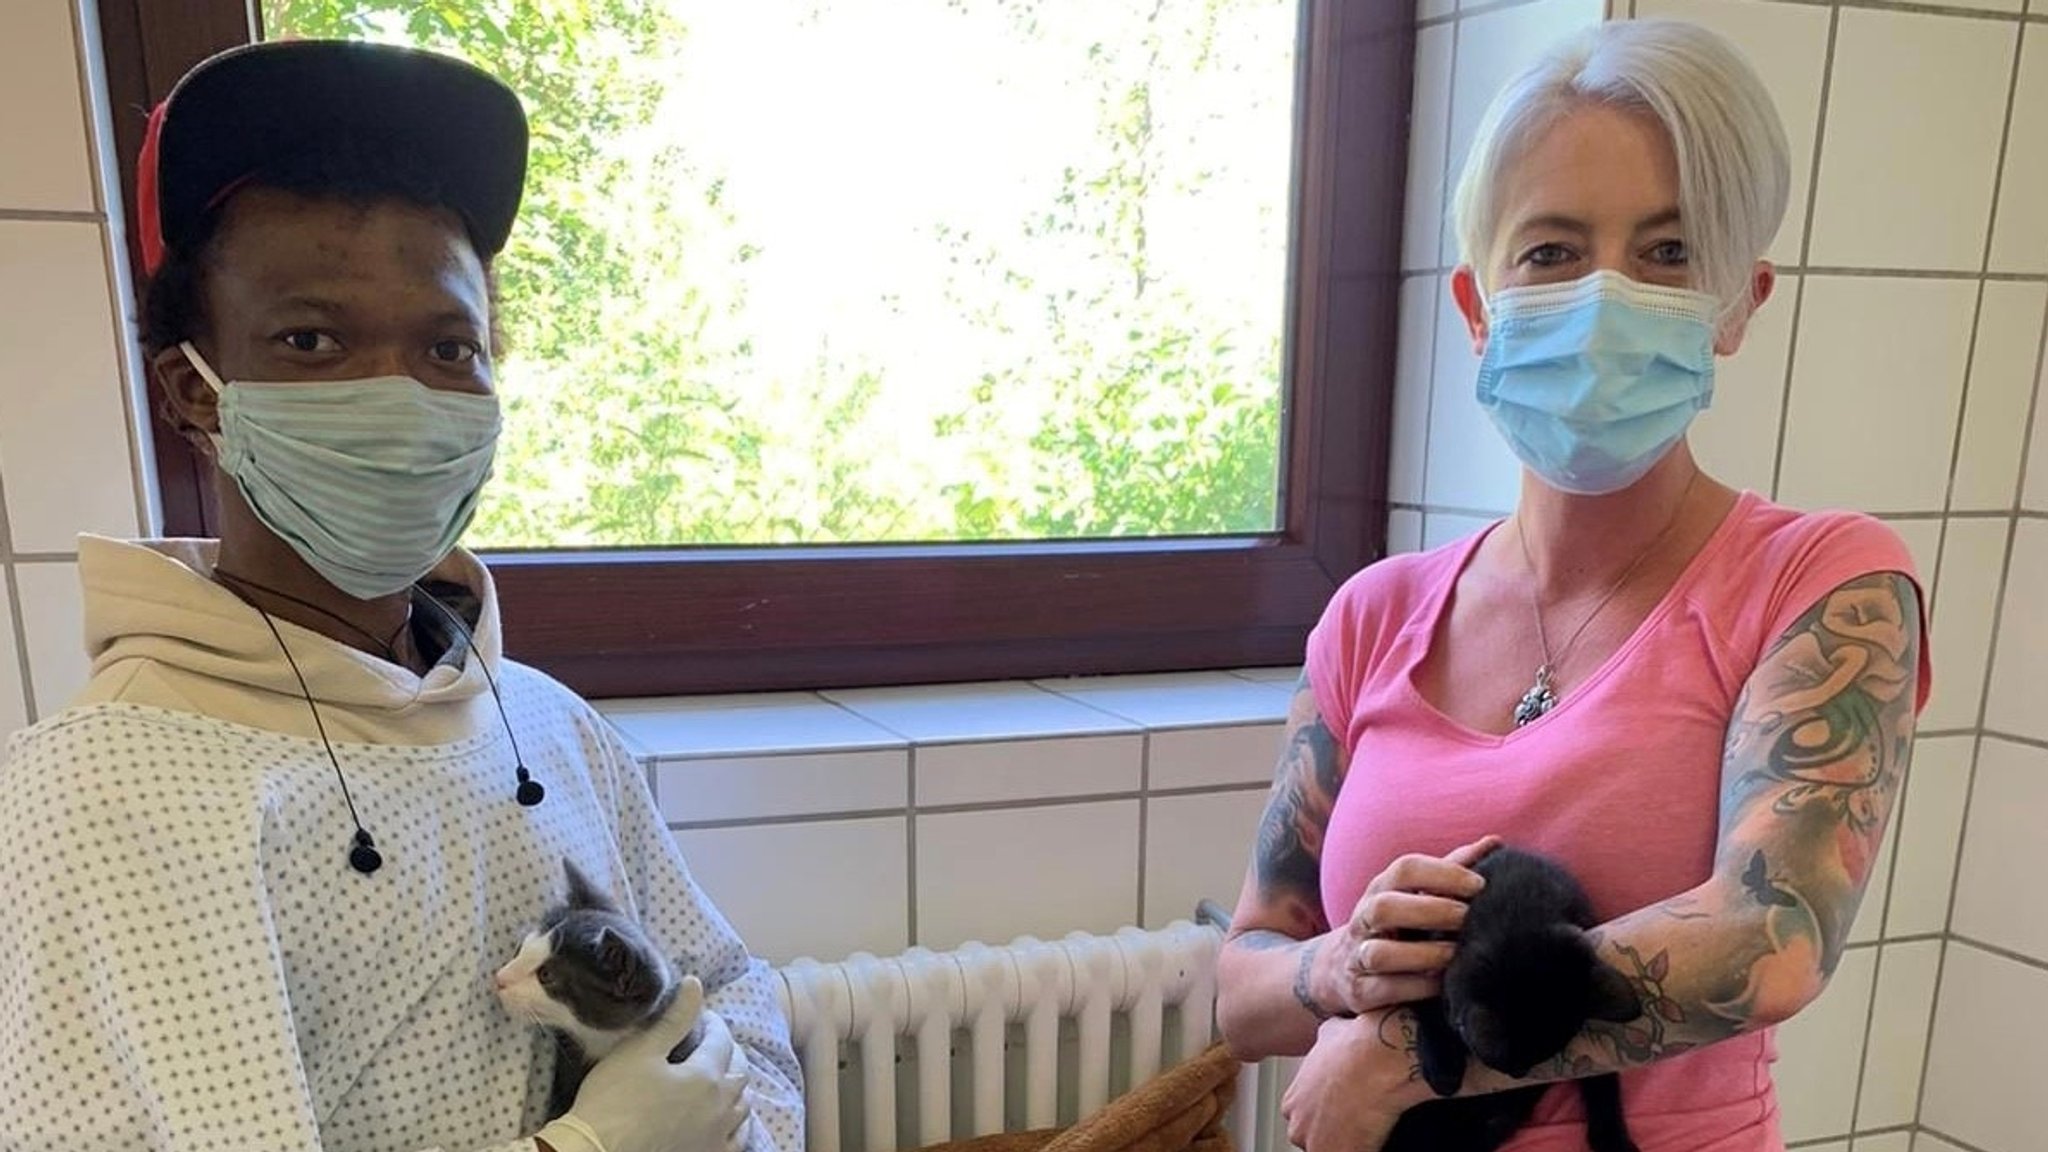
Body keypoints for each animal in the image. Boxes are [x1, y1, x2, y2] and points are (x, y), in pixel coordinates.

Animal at [1376, 844, 1646, 1147]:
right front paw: (1443, 1066)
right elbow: (1428, 1005)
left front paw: (1612, 1137)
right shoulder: (1415, 952)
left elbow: (1602, 1078)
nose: (1519, 1076)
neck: (1519, 902)